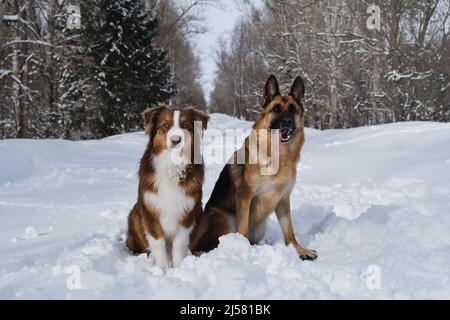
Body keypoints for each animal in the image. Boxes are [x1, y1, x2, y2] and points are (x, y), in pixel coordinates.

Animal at [126, 105, 209, 268]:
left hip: (202, 220)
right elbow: (158, 244)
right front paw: (163, 268)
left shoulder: (187, 213)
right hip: (135, 216)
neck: (172, 163)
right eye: (165, 125)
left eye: (185, 126)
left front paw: (178, 268)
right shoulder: (151, 211)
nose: (175, 140)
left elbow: (178, 244)